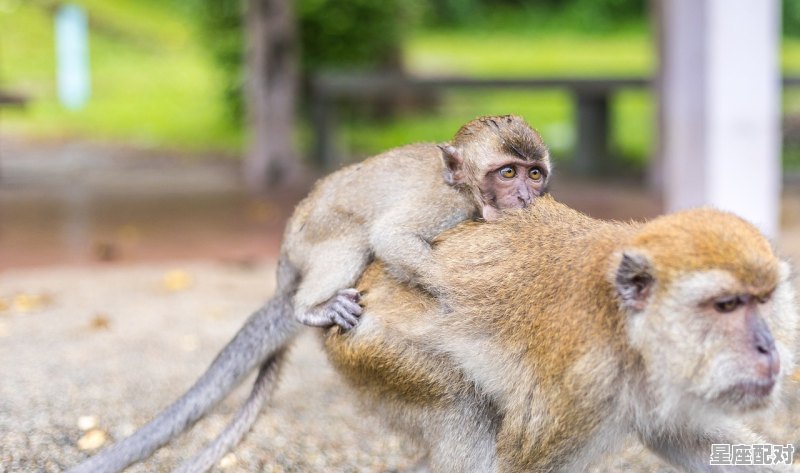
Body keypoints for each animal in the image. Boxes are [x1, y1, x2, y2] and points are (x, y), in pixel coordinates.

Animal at [69, 114, 552, 472]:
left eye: (534, 174)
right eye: (507, 173)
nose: (525, 196)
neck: (465, 189)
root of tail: (286, 248)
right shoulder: (446, 204)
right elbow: (391, 237)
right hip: (314, 238)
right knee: (353, 237)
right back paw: (309, 309)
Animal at [322, 194, 796, 470]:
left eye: (764, 300)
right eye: (727, 305)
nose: (767, 347)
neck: (627, 331)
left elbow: (691, 437)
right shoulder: (582, 388)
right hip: (373, 350)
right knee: (461, 404)